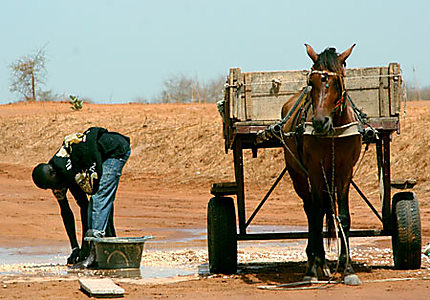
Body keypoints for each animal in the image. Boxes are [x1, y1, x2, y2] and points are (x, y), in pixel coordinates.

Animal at [282, 43, 362, 284]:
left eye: (336, 82)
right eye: (312, 83)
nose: (319, 122)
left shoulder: (345, 172)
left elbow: (343, 217)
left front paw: (347, 268)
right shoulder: (315, 172)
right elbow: (316, 216)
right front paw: (313, 268)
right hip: (298, 175)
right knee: (311, 209)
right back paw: (314, 261)